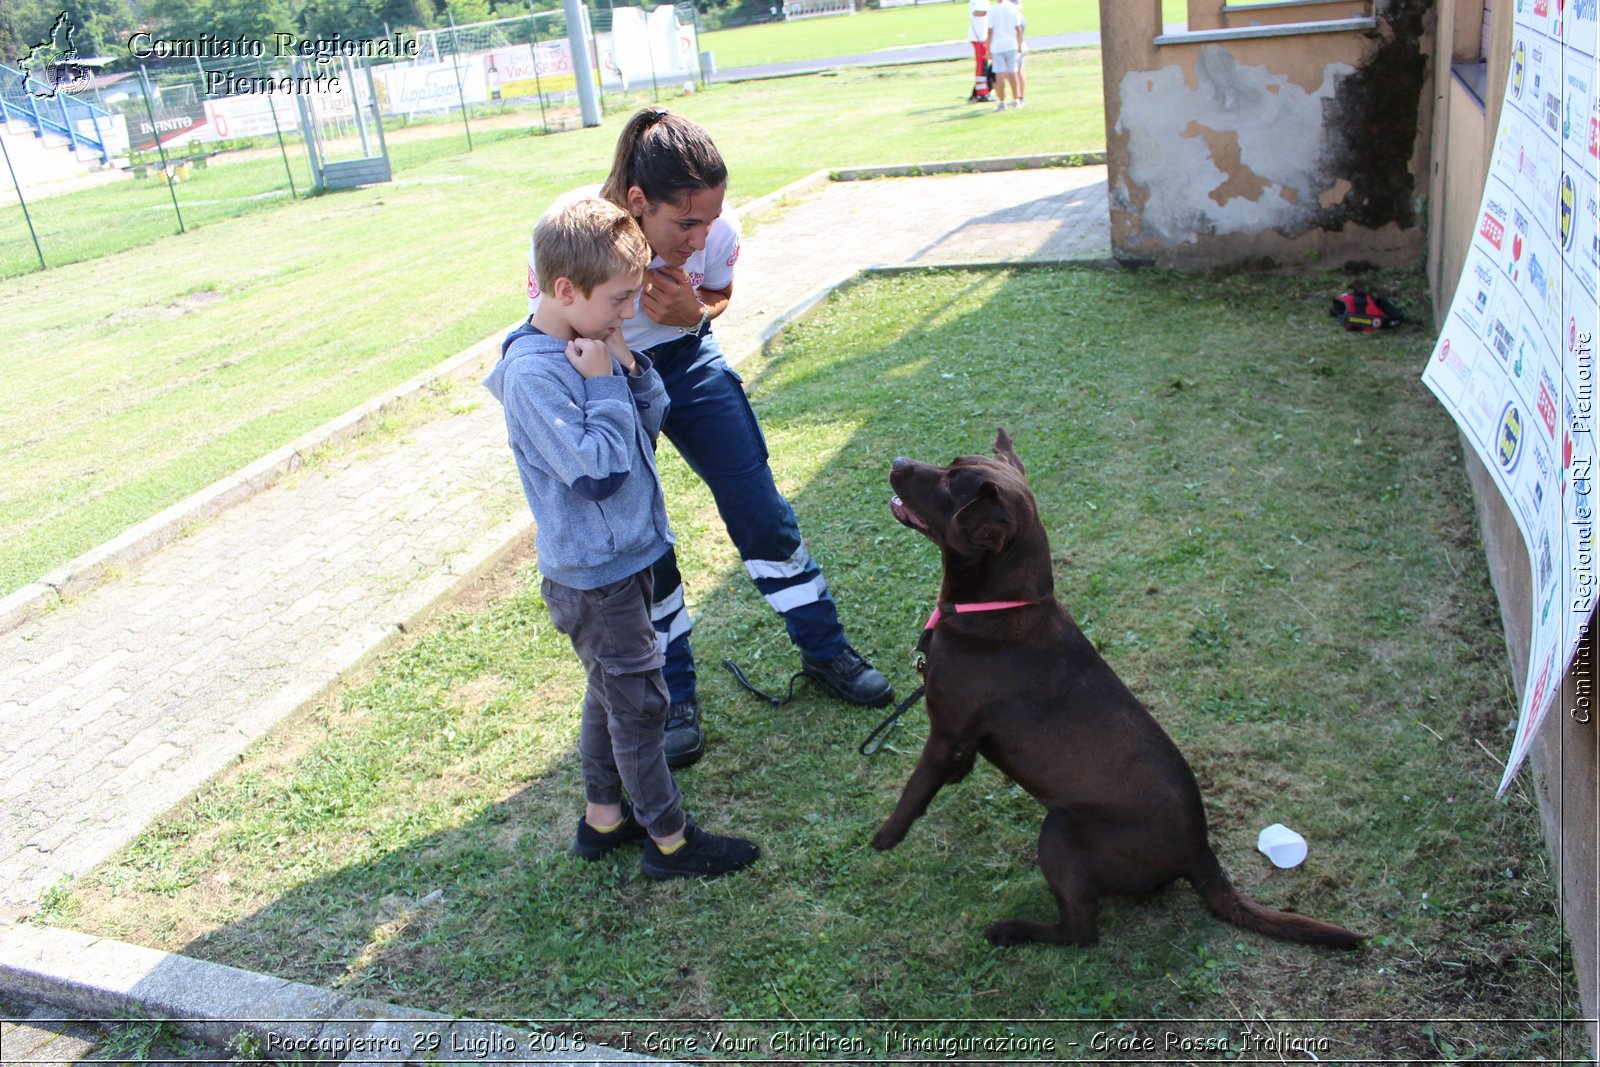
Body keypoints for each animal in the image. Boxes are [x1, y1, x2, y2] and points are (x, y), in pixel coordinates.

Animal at [876, 428, 1363, 947]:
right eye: (950, 464)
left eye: (952, 485)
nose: (898, 461)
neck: (997, 608)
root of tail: (1201, 853)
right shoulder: (962, 738)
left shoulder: (945, 731)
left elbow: (916, 787)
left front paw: (886, 837)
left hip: (1060, 834)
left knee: (1082, 932)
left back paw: (1012, 929)